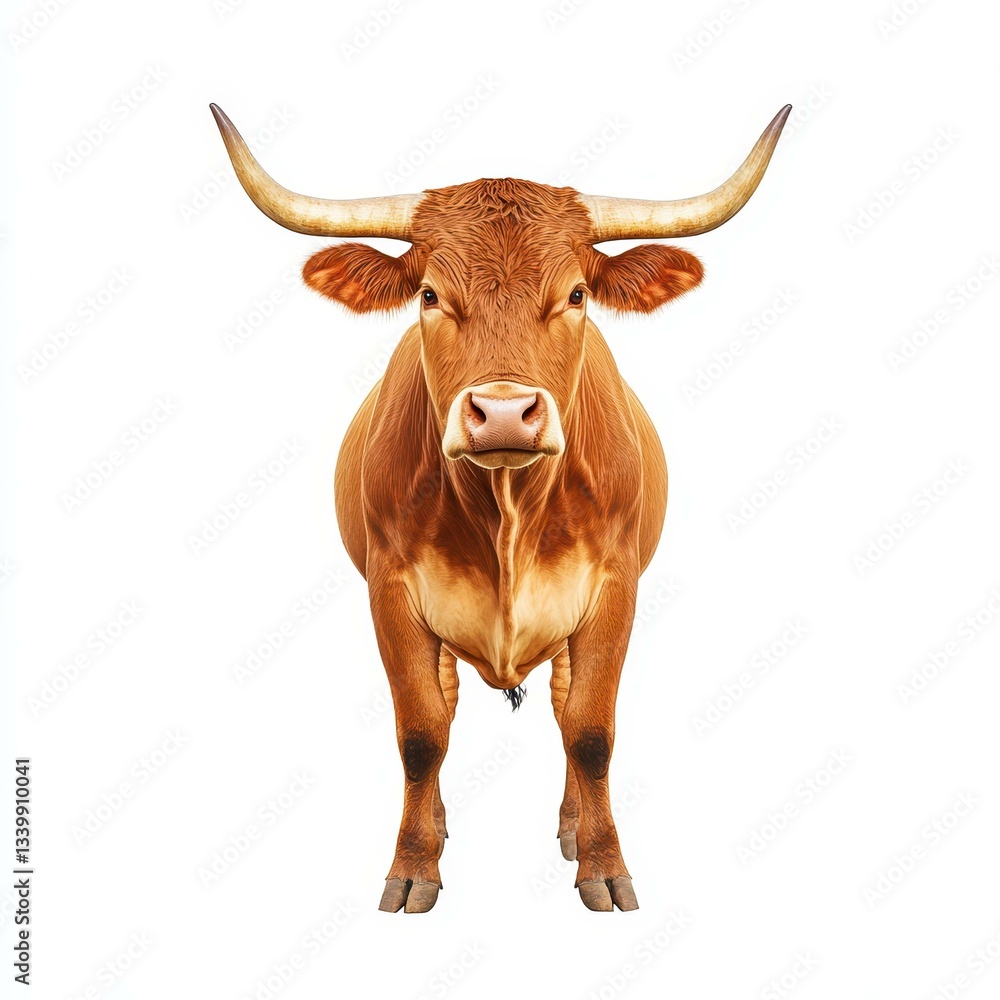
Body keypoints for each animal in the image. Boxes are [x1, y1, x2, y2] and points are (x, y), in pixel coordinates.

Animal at [211, 103, 790, 913]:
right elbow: (422, 733)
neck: (507, 511)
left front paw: (603, 866)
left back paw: (574, 826)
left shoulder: (615, 589)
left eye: (576, 295)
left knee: (565, 705)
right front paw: (412, 868)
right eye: (428, 295)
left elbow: (591, 731)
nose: (507, 414)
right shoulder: (389, 590)